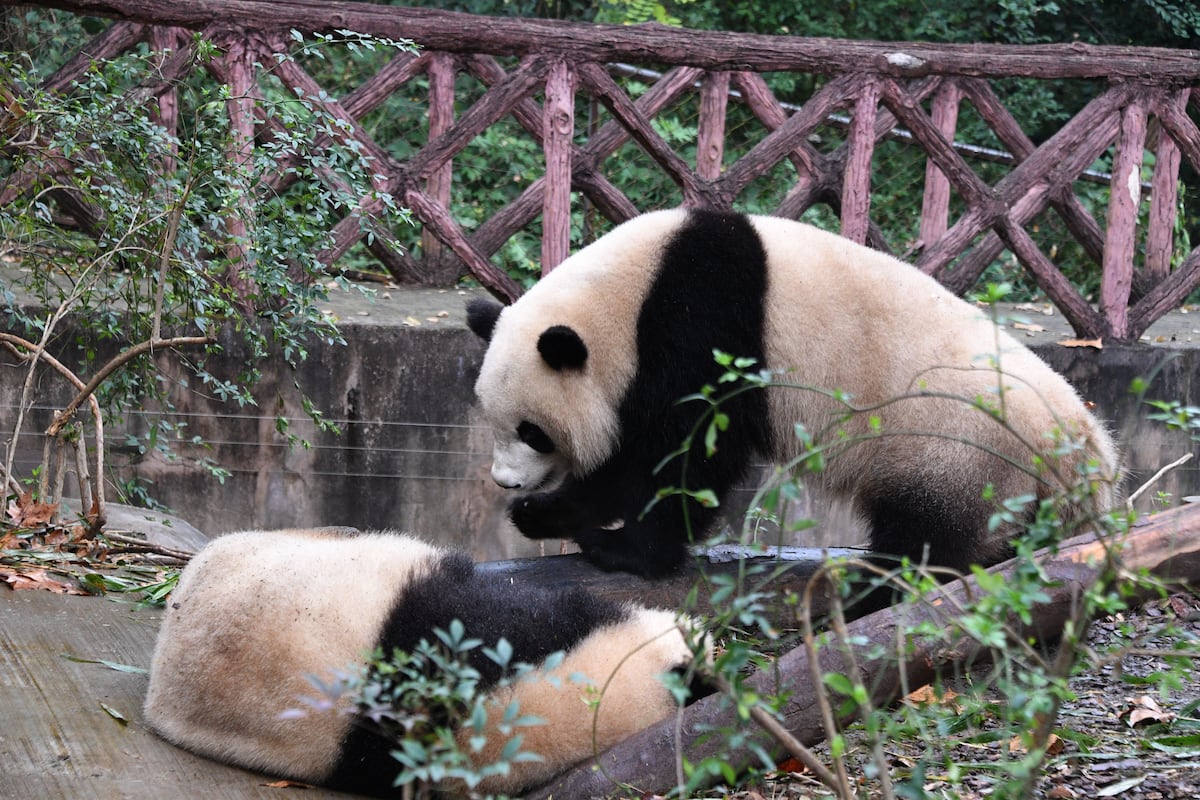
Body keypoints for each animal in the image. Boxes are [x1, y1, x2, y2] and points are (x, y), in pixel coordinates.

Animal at [467, 207, 1120, 579]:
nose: (505, 482)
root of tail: (1083, 443)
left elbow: (683, 454)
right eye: (495, 425)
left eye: (532, 432)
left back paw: (877, 592)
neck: (628, 296)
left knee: (929, 539)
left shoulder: (700, 322)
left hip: (958, 449)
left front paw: (602, 540)